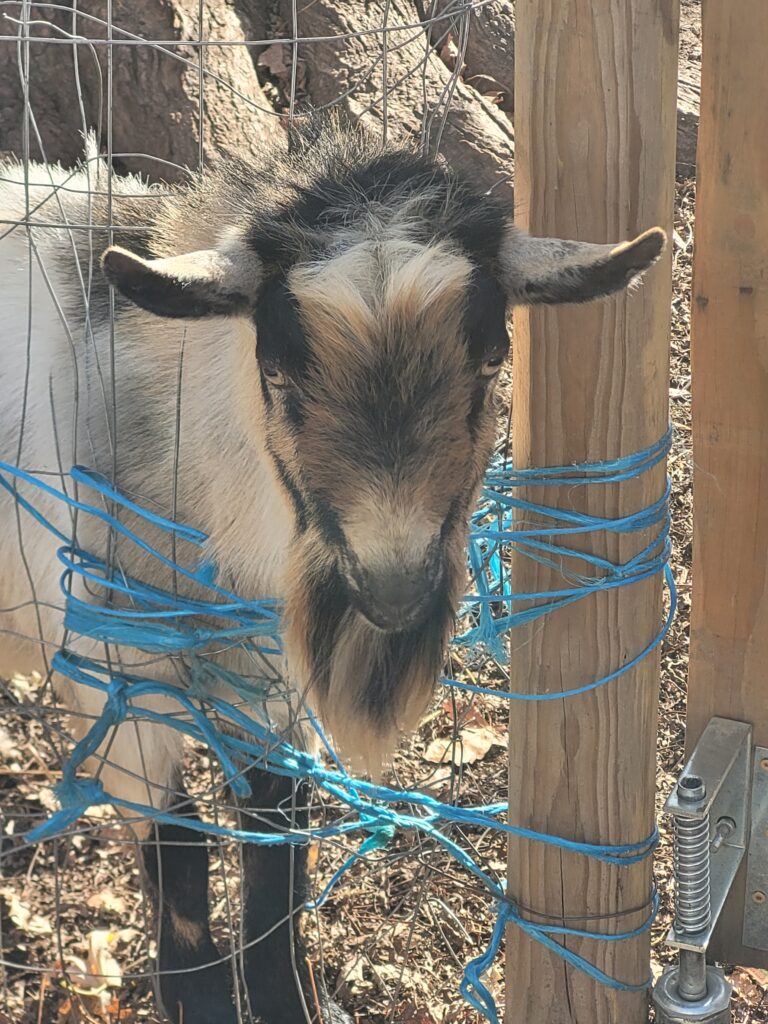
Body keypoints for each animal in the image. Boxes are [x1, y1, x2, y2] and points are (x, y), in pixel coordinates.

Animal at [0, 120, 664, 1024]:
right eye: (278, 370)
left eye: (492, 360)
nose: (394, 590)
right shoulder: (112, 685)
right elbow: (181, 860)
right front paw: (199, 1000)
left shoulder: (269, 681)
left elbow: (277, 852)